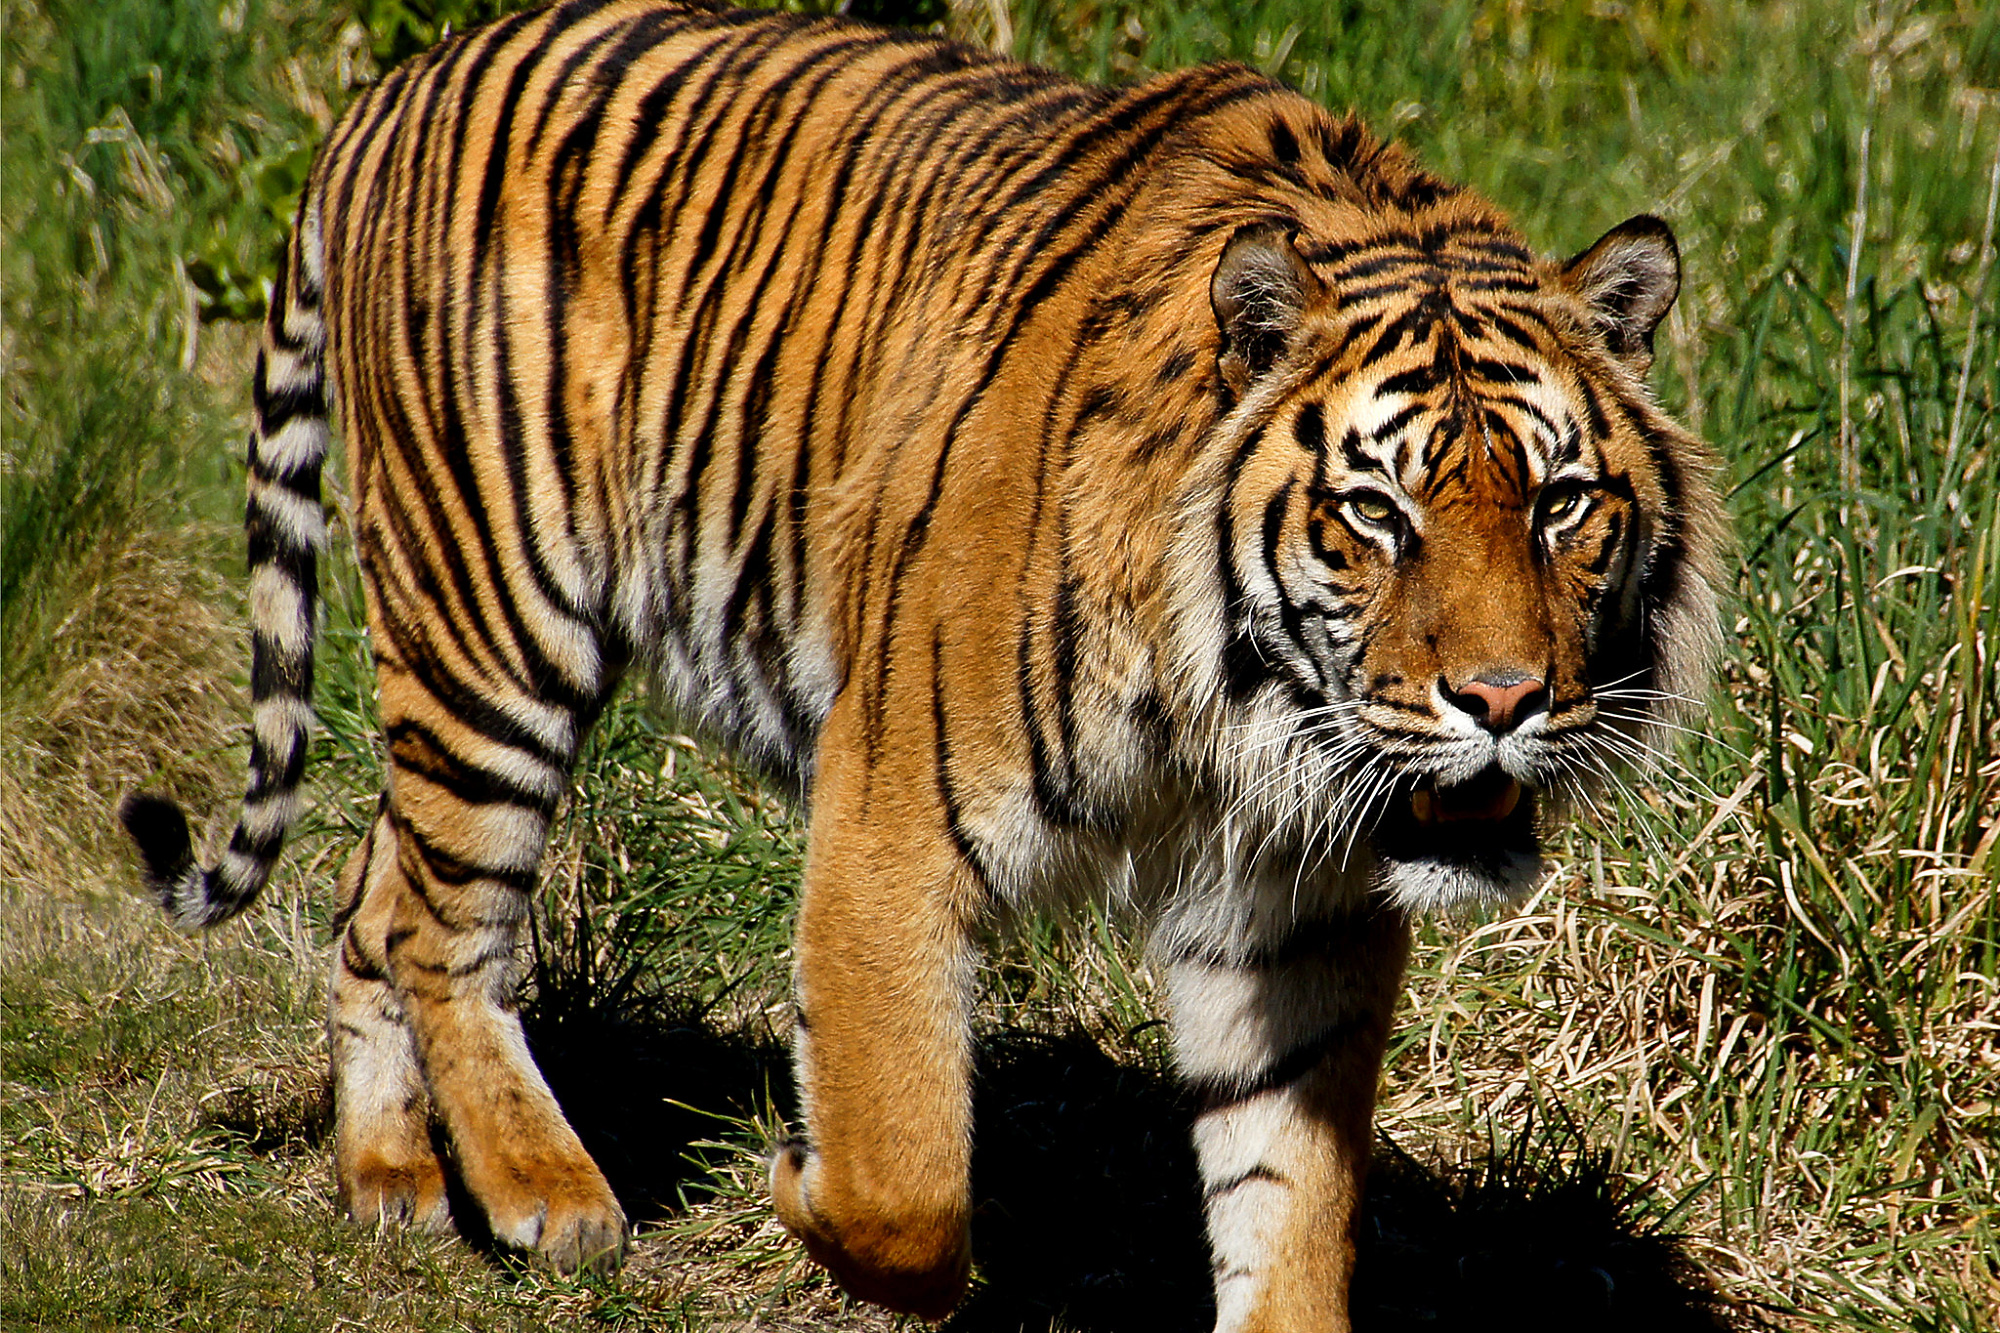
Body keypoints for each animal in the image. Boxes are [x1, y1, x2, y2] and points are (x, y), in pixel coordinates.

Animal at [118, 0, 1726, 1326]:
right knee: (446, 924)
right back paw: (546, 1196)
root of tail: (387, 92)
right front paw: (792, 1182)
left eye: (1560, 504)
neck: (1242, 719)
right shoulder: (891, 811)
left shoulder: (1294, 913)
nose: (1503, 703)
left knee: (375, 889)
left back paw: (389, 1176)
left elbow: (1290, 1200)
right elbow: (905, 1177)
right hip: (496, 616)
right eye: (1377, 513)